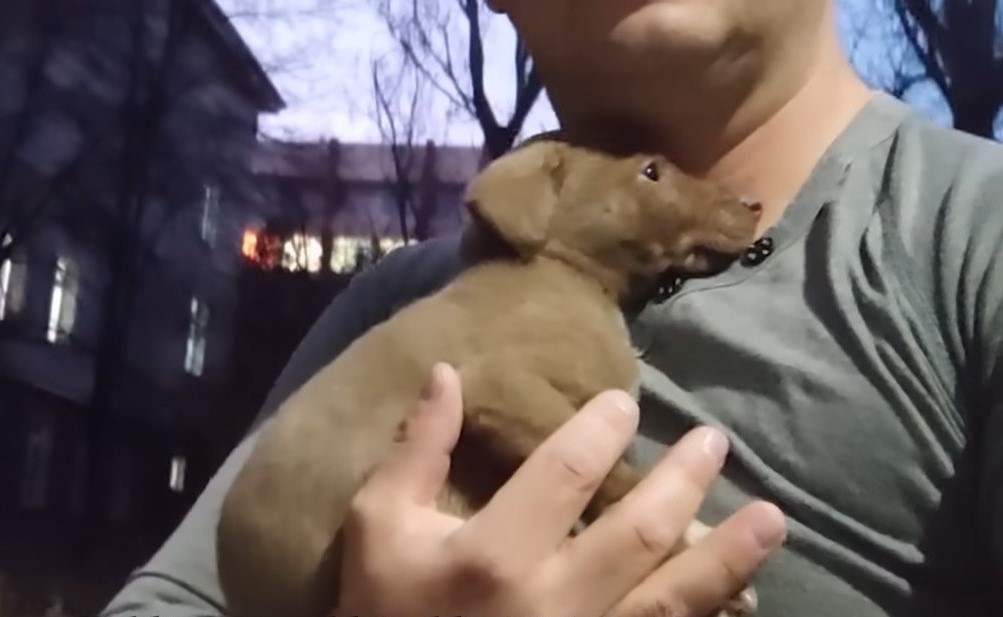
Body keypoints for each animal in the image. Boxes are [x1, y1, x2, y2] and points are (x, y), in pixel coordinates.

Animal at [217, 136, 758, 617]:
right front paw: (692, 541)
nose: (753, 204)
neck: (567, 272)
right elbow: (618, 477)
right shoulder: (497, 385)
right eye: (651, 171)